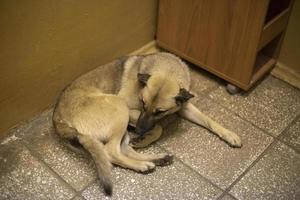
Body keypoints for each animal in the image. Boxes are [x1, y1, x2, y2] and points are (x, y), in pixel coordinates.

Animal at [53, 52, 241, 196]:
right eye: (142, 103)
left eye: (160, 112)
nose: (139, 131)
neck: (168, 70)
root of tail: (57, 119)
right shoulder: (130, 108)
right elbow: (158, 127)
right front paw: (146, 138)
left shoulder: (184, 106)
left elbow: (209, 120)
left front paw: (229, 134)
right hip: (119, 109)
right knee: (111, 151)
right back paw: (142, 164)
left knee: (123, 149)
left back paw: (156, 159)